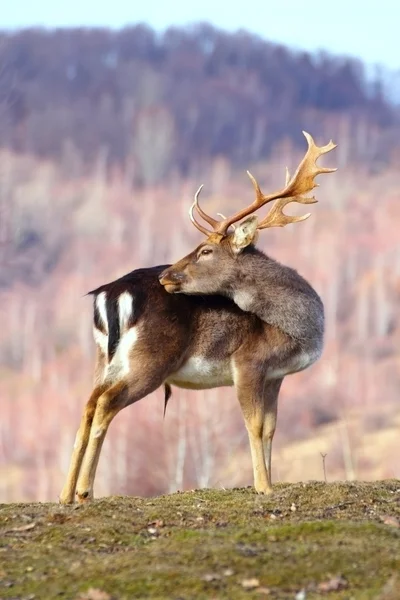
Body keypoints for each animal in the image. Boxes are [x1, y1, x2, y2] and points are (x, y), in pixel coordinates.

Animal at [59, 132, 336, 506]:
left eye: (206, 250)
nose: (166, 275)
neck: (297, 329)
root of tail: (110, 294)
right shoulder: (247, 362)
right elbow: (254, 425)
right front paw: (263, 486)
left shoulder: (275, 375)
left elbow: (270, 427)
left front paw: (269, 481)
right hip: (150, 360)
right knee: (105, 403)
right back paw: (85, 492)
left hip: (105, 359)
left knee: (88, 404)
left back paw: (64, 494)